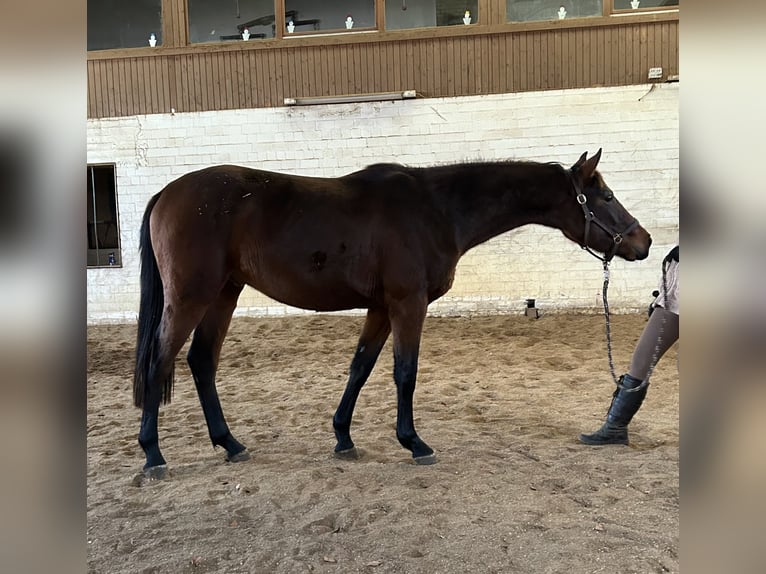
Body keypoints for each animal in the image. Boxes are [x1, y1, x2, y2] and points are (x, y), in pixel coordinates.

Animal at [133, 149, 651, 477]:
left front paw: (343, 438)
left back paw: (230, 444)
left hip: (224, 293)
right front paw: (414, 443)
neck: (436, 210)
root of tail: (165, 194)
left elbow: (360, 368)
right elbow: (405, 372)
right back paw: (154, 456)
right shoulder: (407, 303)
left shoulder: (381, 307)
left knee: (201, 362)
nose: (642, 242)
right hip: (192, 297)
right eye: (606, 197)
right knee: (160, 362)